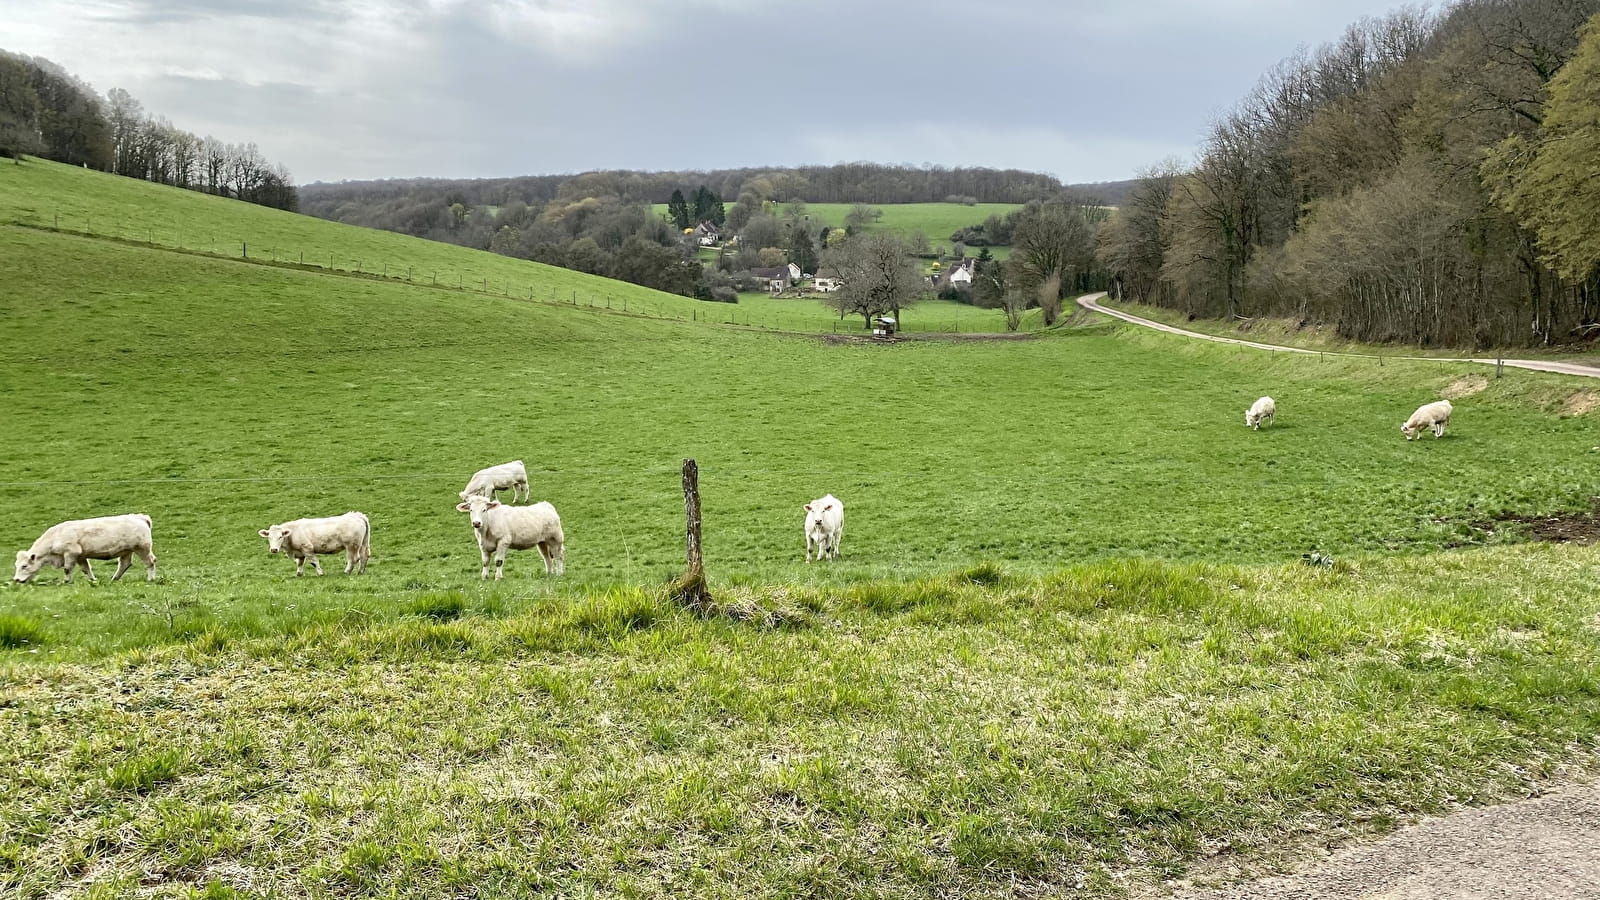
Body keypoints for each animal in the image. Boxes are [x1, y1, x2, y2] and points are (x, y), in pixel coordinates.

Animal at [13, 512, 157, 582]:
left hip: (142, 548)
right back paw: (114, 579)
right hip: (126, 551)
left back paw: (151, 579)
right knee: (124, 564)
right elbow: (86, 569)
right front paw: (93, 580)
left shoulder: (70, 553)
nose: (16, 580)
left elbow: (67, 569)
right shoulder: (80, 556)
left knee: (150, 562)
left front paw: (66, 581)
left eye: (24, 566)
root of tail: (139, 517)